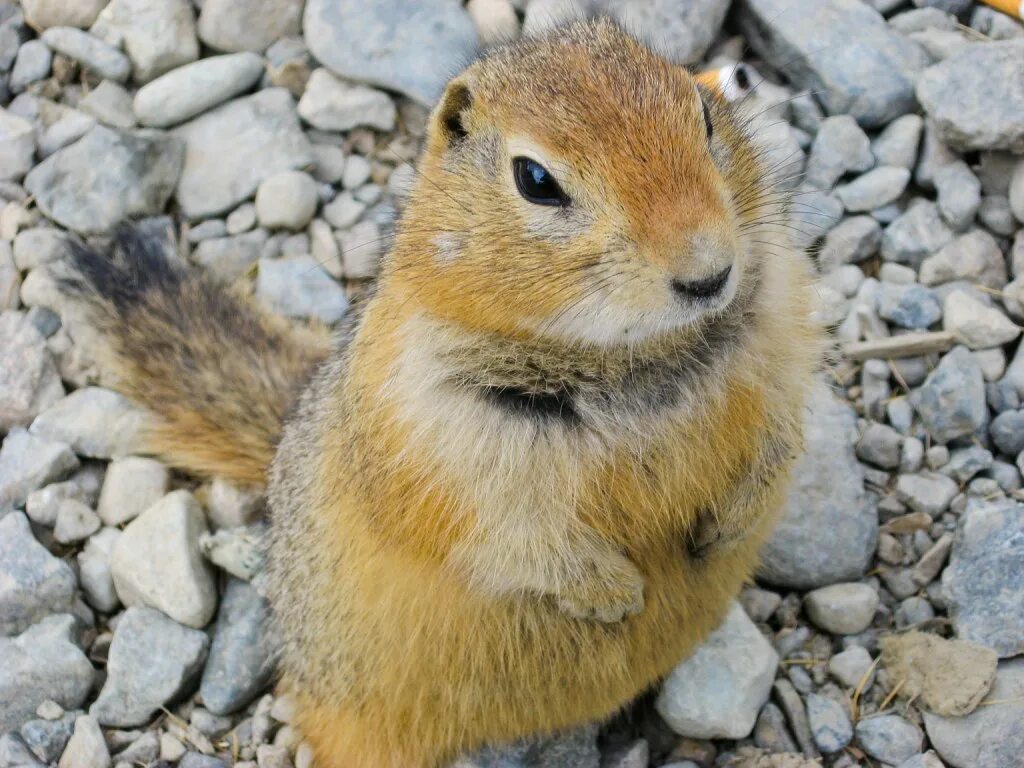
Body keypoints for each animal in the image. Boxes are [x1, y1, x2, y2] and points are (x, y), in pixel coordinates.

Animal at [61, 18, 815, 768]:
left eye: (705, 115)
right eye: (535, 179)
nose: (707, 274)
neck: (632, 359)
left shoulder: (781, 335)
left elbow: (782, 433)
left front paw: (734, 518)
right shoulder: (436, 436)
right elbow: (509, 534)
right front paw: (612, 592)